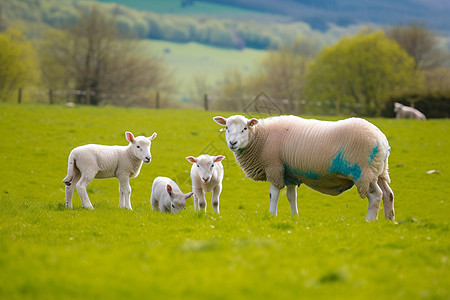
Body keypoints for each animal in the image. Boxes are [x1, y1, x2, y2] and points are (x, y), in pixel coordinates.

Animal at [214, 113, 394, 221]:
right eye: (227, 128)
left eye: (245, 128)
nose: (232, 143)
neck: (261, 138)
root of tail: (382, 140)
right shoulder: (289, 173)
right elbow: (291, 196)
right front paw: (295, 217)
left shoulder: (274, 168)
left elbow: (274, 194)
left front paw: (272, 215)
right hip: (379, 171)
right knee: (388, 194)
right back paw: (389, 221)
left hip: (363, 173)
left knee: (375, 196)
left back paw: (370, 220)